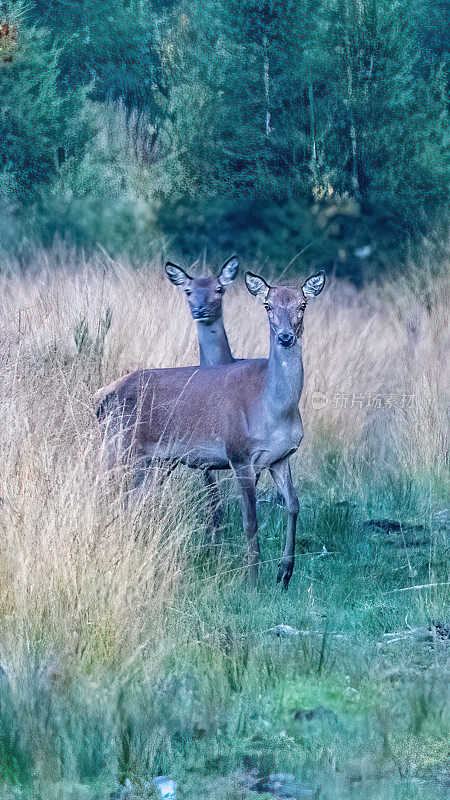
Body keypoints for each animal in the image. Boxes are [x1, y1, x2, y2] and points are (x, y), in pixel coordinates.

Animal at [96, 270, 326, 588]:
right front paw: (252, 579)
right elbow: (249, 520)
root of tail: (100, 397)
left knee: (136, 502)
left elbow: (293, 504)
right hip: (119, 446)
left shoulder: (280, 457)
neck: (273, 410)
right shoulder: (239, 454)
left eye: (302, 305)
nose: (285, 337)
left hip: (154, 462)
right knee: (107, 494)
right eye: (267, 305)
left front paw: (284, 573)